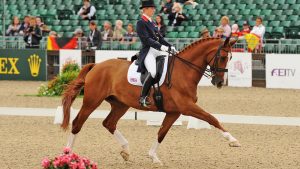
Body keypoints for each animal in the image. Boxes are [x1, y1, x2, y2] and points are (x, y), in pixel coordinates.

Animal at [61, 36, 239, 164]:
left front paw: (153, 157)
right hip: (92, 101)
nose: (219, 82)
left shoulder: (174, 112)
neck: (183, 71)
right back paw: (68, 156)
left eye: (230, 58)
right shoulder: (187, 107)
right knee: (77, 124)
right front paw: (233, 140)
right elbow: (211, 118)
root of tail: (96, 65)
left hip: (120, 104)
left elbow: (161, 133)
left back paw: (126, 151)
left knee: (109, 123)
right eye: (223, 57)